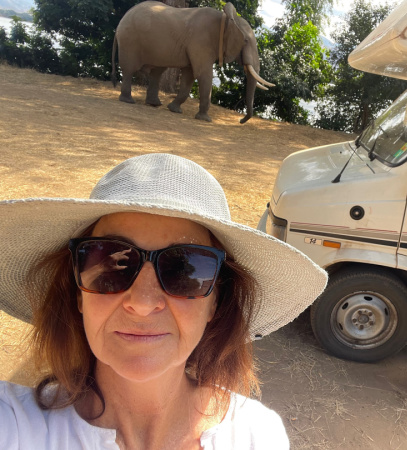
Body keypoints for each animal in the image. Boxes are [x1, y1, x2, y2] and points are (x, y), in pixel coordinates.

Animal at [111, 1, 274, 123]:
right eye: (245, 41)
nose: (240, 121)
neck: (227, 19)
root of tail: (120, 23)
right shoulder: (200, 41)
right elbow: (203, 74)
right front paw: (205, 119)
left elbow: (189, 76)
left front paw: (175, 110)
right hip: (129, 40)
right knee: (129, 69)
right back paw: (128, 101)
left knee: (156, 72)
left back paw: (154, 104)